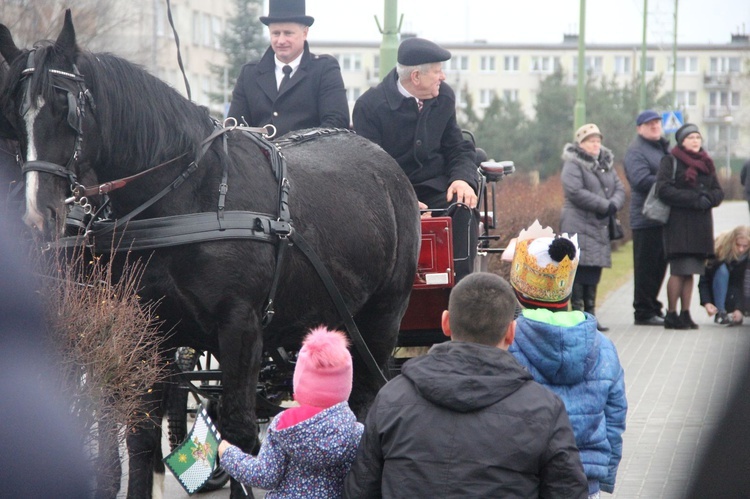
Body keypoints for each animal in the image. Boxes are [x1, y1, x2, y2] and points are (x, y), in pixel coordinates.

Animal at [0, 11, 424, 499]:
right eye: (13, 117)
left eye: (64, 109)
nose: (36, 217)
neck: (188, 199)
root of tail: (387, 166)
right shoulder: (147, 332)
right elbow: (140, 433)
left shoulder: (240, 328)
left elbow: (240, 433)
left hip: (381, 318)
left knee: (366, 400)